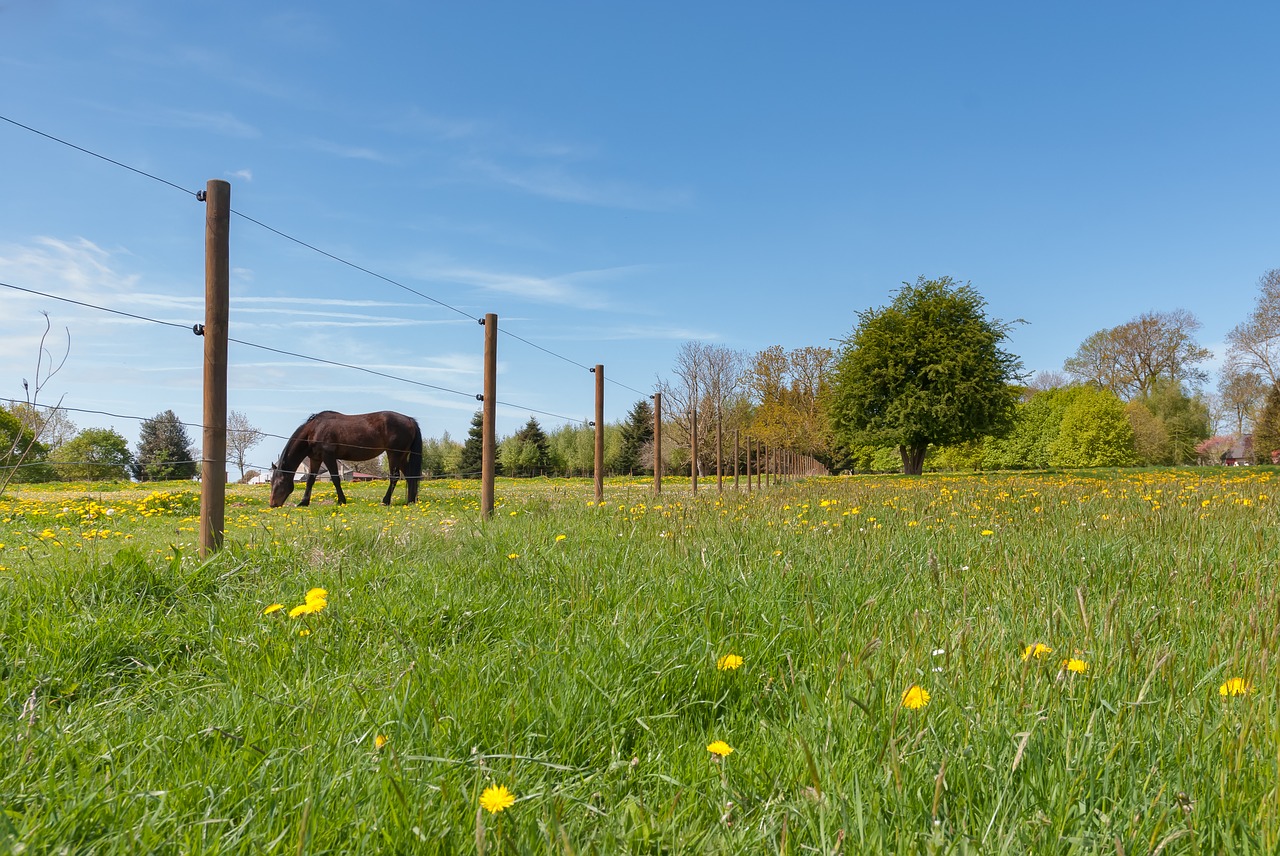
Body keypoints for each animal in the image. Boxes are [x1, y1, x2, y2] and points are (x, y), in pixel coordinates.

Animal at [267, 409, 422, 504]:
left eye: (280, 483)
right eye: (271, 482)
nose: (273, 504)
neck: (314, 430)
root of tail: (409, 420)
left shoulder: (328, 456)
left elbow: (336, 479)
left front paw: (342, 500)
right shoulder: (315, 458)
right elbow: (310, 480)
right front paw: (304, 502)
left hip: (394, 455)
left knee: (394, 477)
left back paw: (385, 501)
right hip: (402, 456)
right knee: (410, 476)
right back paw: (410, 501)